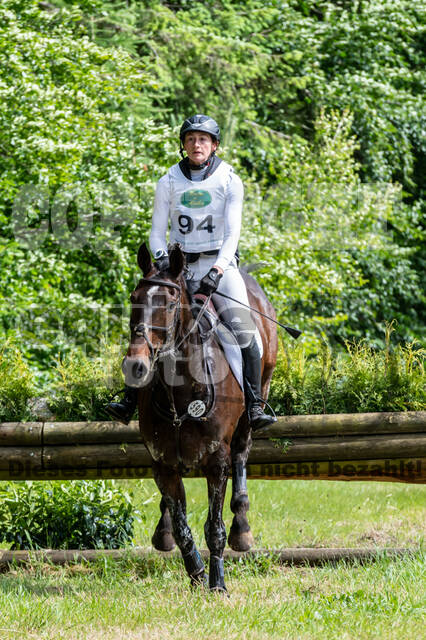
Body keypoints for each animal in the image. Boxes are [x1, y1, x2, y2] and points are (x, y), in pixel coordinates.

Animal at [123, 242, 277, 592]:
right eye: (133, 298)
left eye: (169, 303)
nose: (136, 366)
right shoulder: (162, 463)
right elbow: (182, 528)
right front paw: (196, 574)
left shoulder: (216, 460)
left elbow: (214, 527)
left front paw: (217, 583)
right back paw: (163, 532)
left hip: (253, 407)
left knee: (242, 454)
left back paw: (242, 528)